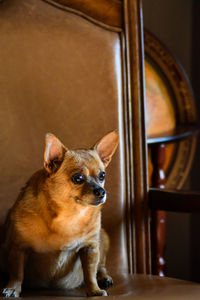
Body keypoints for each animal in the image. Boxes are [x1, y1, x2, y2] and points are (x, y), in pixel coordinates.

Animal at [0, 131, 118, 298]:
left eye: (102, 176)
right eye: (78, 178)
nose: (101, 191)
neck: (70, 215)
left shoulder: (91, 248)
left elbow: (90, 272)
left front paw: (94, 290)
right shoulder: (18, 248)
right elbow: (17, 273)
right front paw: (12, 288)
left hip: (103, 238)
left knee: (100, 266)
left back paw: (104, 278)